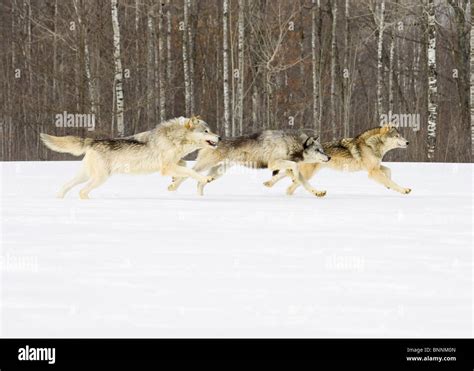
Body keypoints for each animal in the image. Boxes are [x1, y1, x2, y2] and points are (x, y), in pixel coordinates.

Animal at [39, 116, 220, 199]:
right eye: (206, 131)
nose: (220, 137)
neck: (176, 139)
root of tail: (92, 141)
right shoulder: (165, 167)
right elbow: (191, 172)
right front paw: (206, 178)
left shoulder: (174, 163)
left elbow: (184, 167)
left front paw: (173, 183)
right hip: (100, 178)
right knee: (82, 191)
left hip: (85, 175)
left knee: (66, 186)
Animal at [168, 130, 332, 196]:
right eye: (318, 150)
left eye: (322, 149)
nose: (329, 157)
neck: (290, 144)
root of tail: (212, 141)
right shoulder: (274, 164)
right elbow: (295, 168)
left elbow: (304, 183)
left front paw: (318, 192)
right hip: (205, 166)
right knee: (188, 173)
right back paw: (172, 186)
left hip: (217, 173)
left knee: (200, 182)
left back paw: (201, 198)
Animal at [264, 124, 412, 196]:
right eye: (397, 136)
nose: (408, 142)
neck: (371, 145)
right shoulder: (372, 172)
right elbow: (390, 180)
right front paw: (403, 190)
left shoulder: (375, 167)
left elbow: (389, 172)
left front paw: (388, 185)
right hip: (308, 174)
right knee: (289, 186)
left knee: (287, 179)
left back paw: (269, 184)